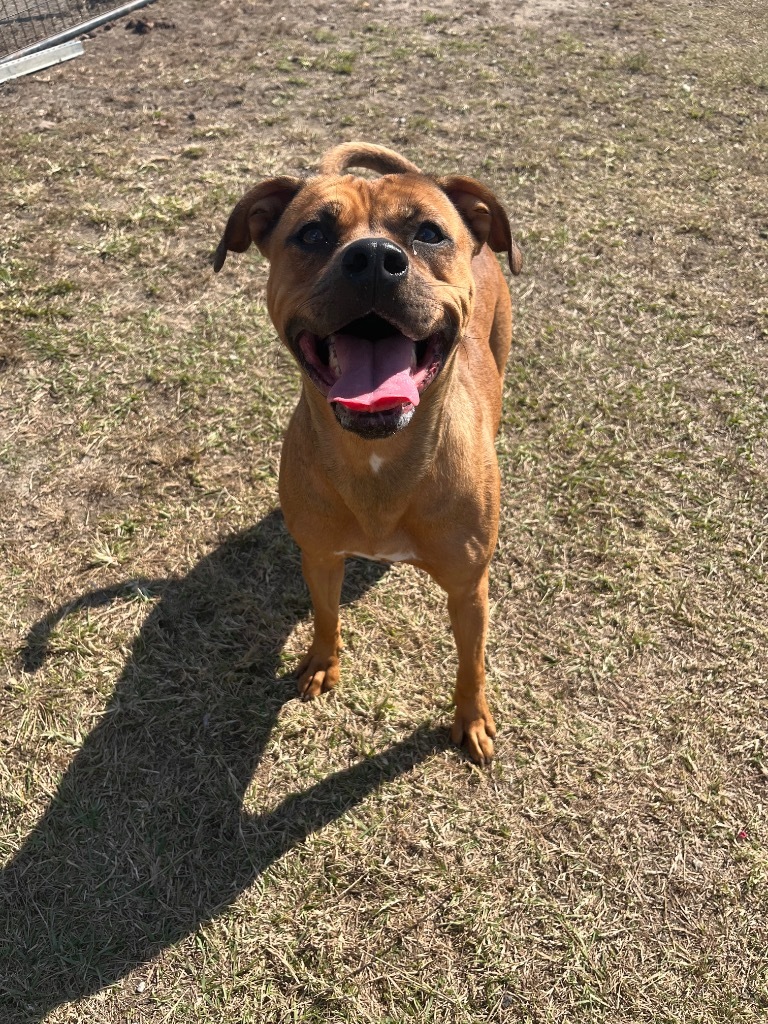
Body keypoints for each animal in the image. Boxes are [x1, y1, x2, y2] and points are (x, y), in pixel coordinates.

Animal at [217, 146, 524, 770]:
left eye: (429, 233)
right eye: (312, 233)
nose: (376, 259)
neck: (379, 457)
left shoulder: (469, 589)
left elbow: (472, 663)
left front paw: (471, 719)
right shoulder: (320, 555)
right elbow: (325, 615)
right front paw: (322, 663)